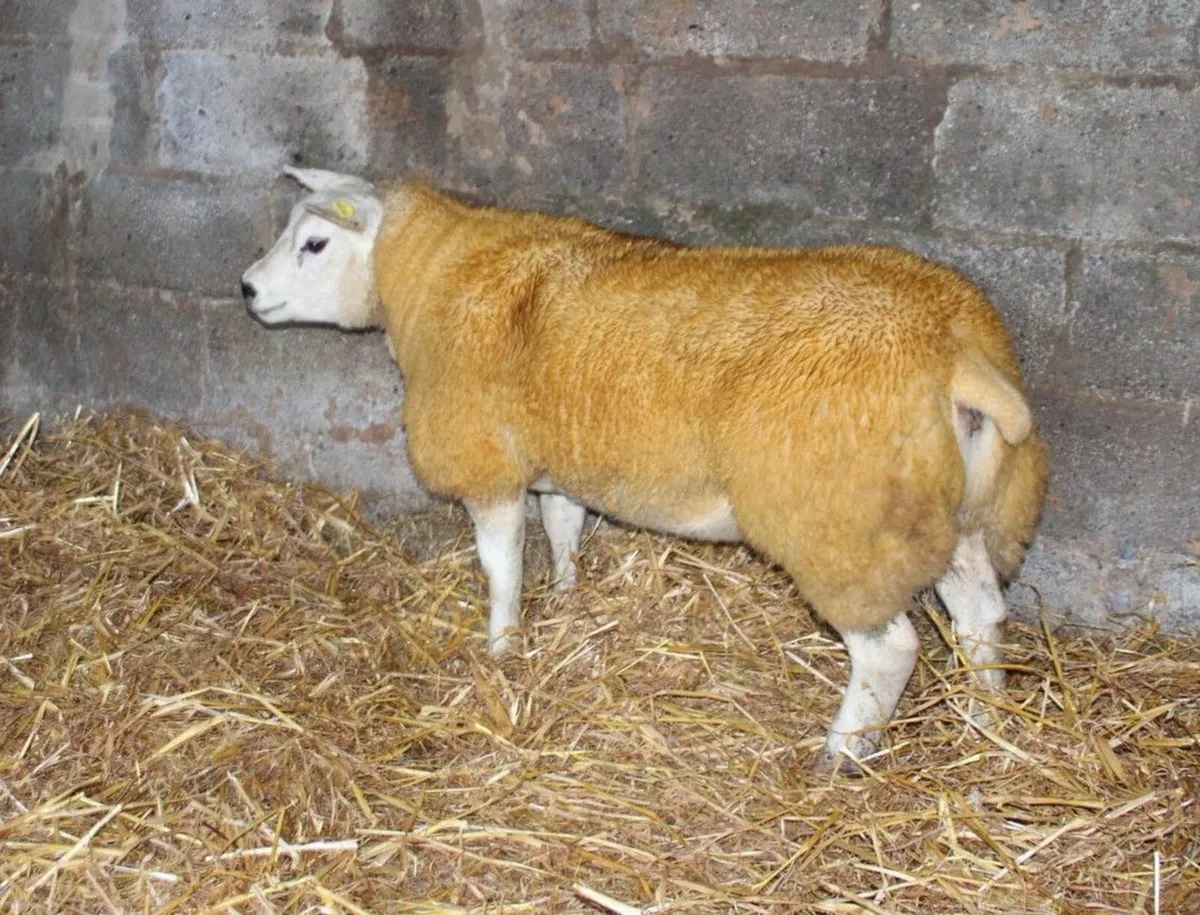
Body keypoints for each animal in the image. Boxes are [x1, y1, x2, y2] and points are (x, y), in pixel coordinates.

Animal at [240, 166, 1048, 772]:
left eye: (314, 242)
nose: (246, 288)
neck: (424, 276)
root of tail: (956, 354)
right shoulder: (562, 457)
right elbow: (563, 529)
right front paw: (568, 601)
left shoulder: (487, 461)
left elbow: (501, 566)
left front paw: (501, 649)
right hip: (954, 515)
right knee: (979, 616)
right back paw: (987, 729)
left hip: (843, 527)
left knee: (890, 650)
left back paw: (841, 754)